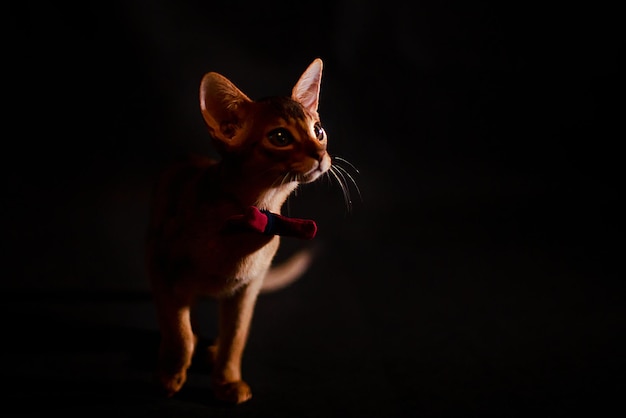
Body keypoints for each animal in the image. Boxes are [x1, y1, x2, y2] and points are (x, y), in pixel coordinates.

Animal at [145, 57, 336, 404]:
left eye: (318, 131)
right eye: (280, 137)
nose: (320, 155)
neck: (250, 216)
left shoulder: (248, 290)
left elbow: (237, 337)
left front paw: (228, 382)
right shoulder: (160, 266)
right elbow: (179, 333)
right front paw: (170, 376)